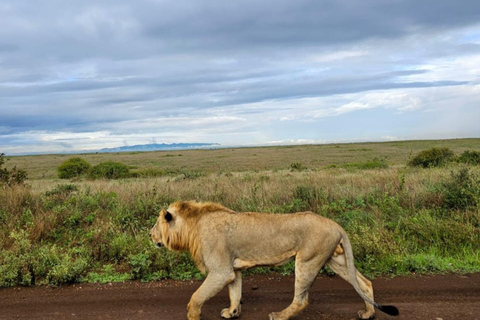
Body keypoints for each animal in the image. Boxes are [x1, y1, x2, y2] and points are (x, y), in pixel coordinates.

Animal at [149, 201, 398, 318]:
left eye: (156, 224)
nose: (150, 235)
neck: (192, 226)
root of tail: (336, 224)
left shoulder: (220, 271)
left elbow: (195, 298)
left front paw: (193, 316)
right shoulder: (233, 270)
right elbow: (235, 293)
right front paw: (232, 313)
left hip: (307, 260)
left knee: (301, 300)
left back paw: (278, 316)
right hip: (334, 260)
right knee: (364, 282)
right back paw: (368, 313)